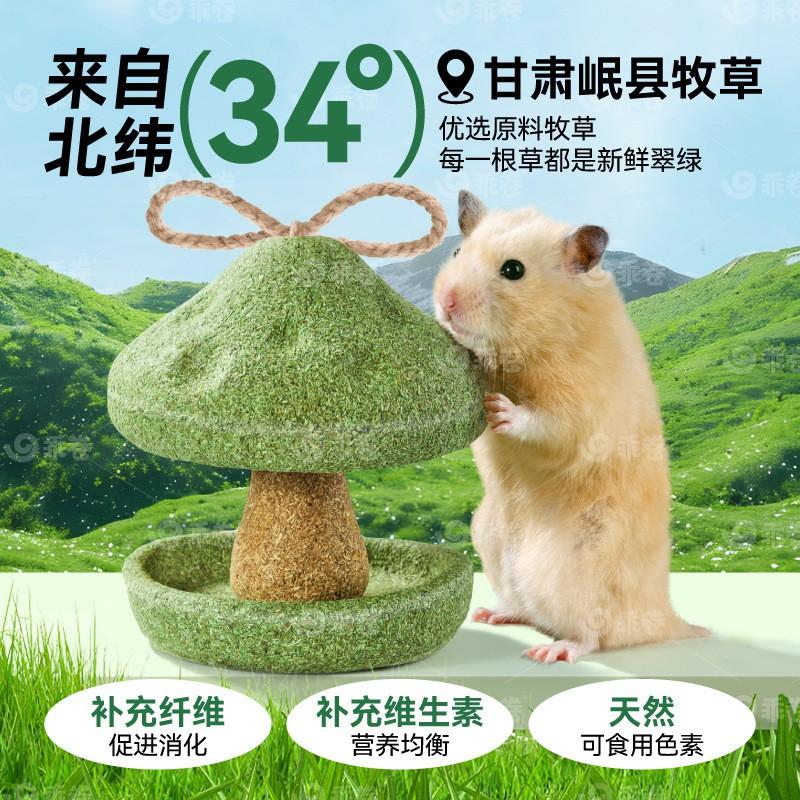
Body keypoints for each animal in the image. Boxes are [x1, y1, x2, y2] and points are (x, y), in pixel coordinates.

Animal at [433, 190, 709, 664]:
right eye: (456, 253)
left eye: (513, 270)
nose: (446, 303)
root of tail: (665, 617)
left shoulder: (581, 406)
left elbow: (549, 424)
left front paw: (499, 409)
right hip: (489, 537)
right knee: (523, 607)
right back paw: (491, 614)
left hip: (580, 567)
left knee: (594, 633)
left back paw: (552, 651)